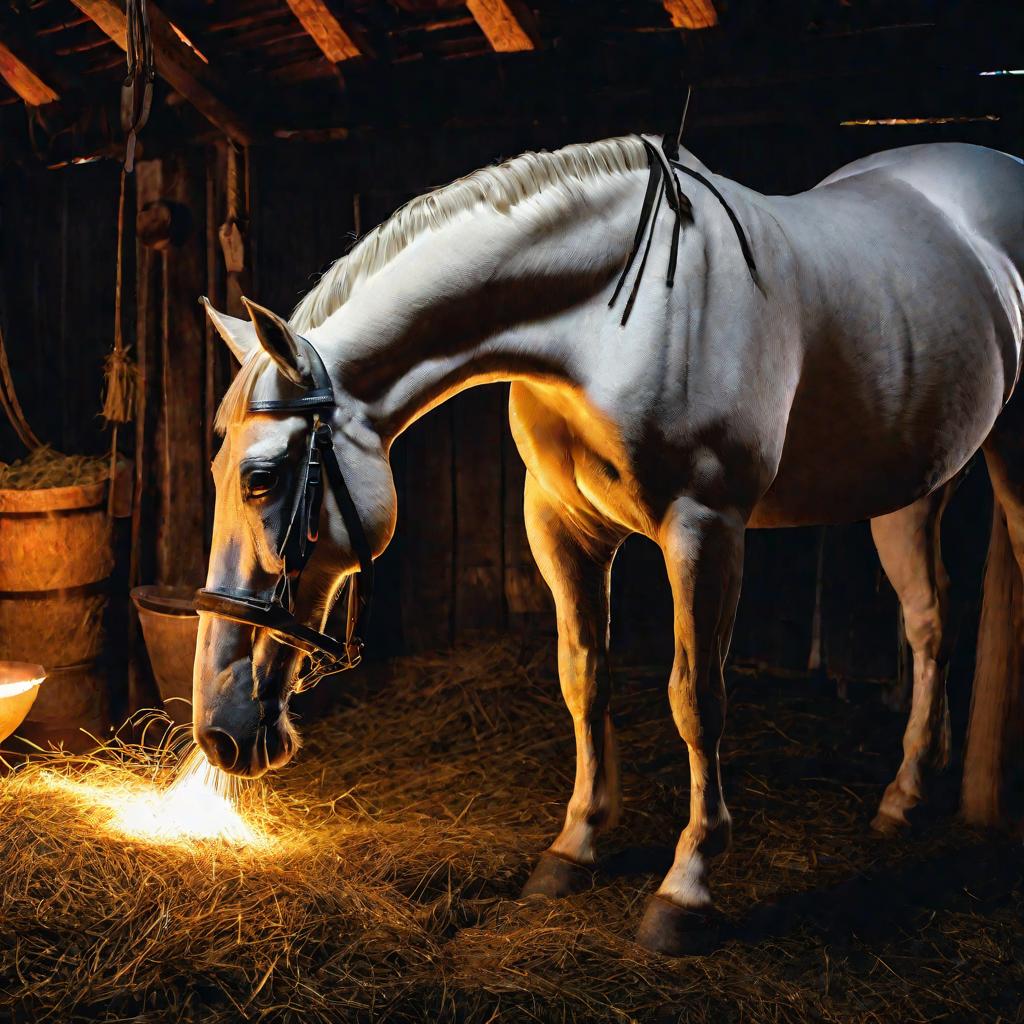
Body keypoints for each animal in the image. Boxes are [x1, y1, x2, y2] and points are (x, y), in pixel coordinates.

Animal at [193, 134, 1024, 950]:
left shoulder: (704, 526)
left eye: (261, 478)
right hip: (919, 480)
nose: (220, 735)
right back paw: (903, 797)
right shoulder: (562, 525)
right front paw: (576, 846)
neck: (607, 324)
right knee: (928, 622)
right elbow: (583, 677)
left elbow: (696, 697)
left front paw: (687, 886)